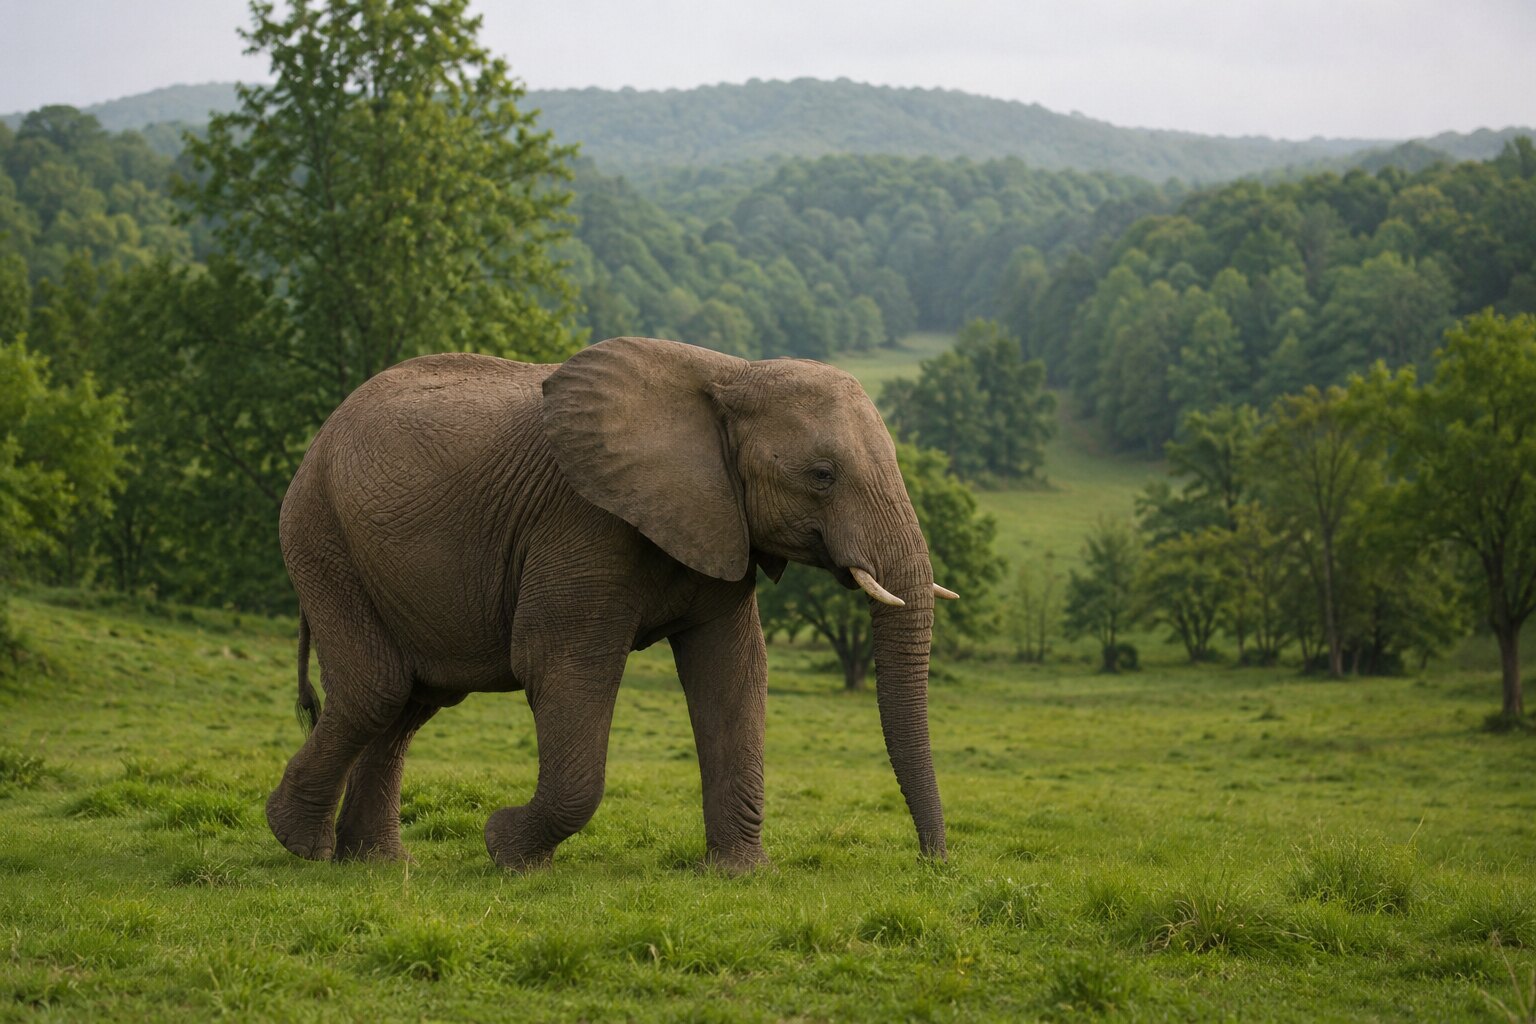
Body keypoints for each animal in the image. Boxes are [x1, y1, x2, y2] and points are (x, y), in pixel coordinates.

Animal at [266, 335, 955, 872]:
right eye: (821, 476)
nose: (932, 861)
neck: (731, 374)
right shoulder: (582, 520)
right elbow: (562, 664)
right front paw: (505, 848)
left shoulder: (719, 520)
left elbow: (731, 674)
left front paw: (739, 874)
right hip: (321, 534)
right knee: (377, 688)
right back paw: (301, 845)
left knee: (414, 698)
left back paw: (376, 863)